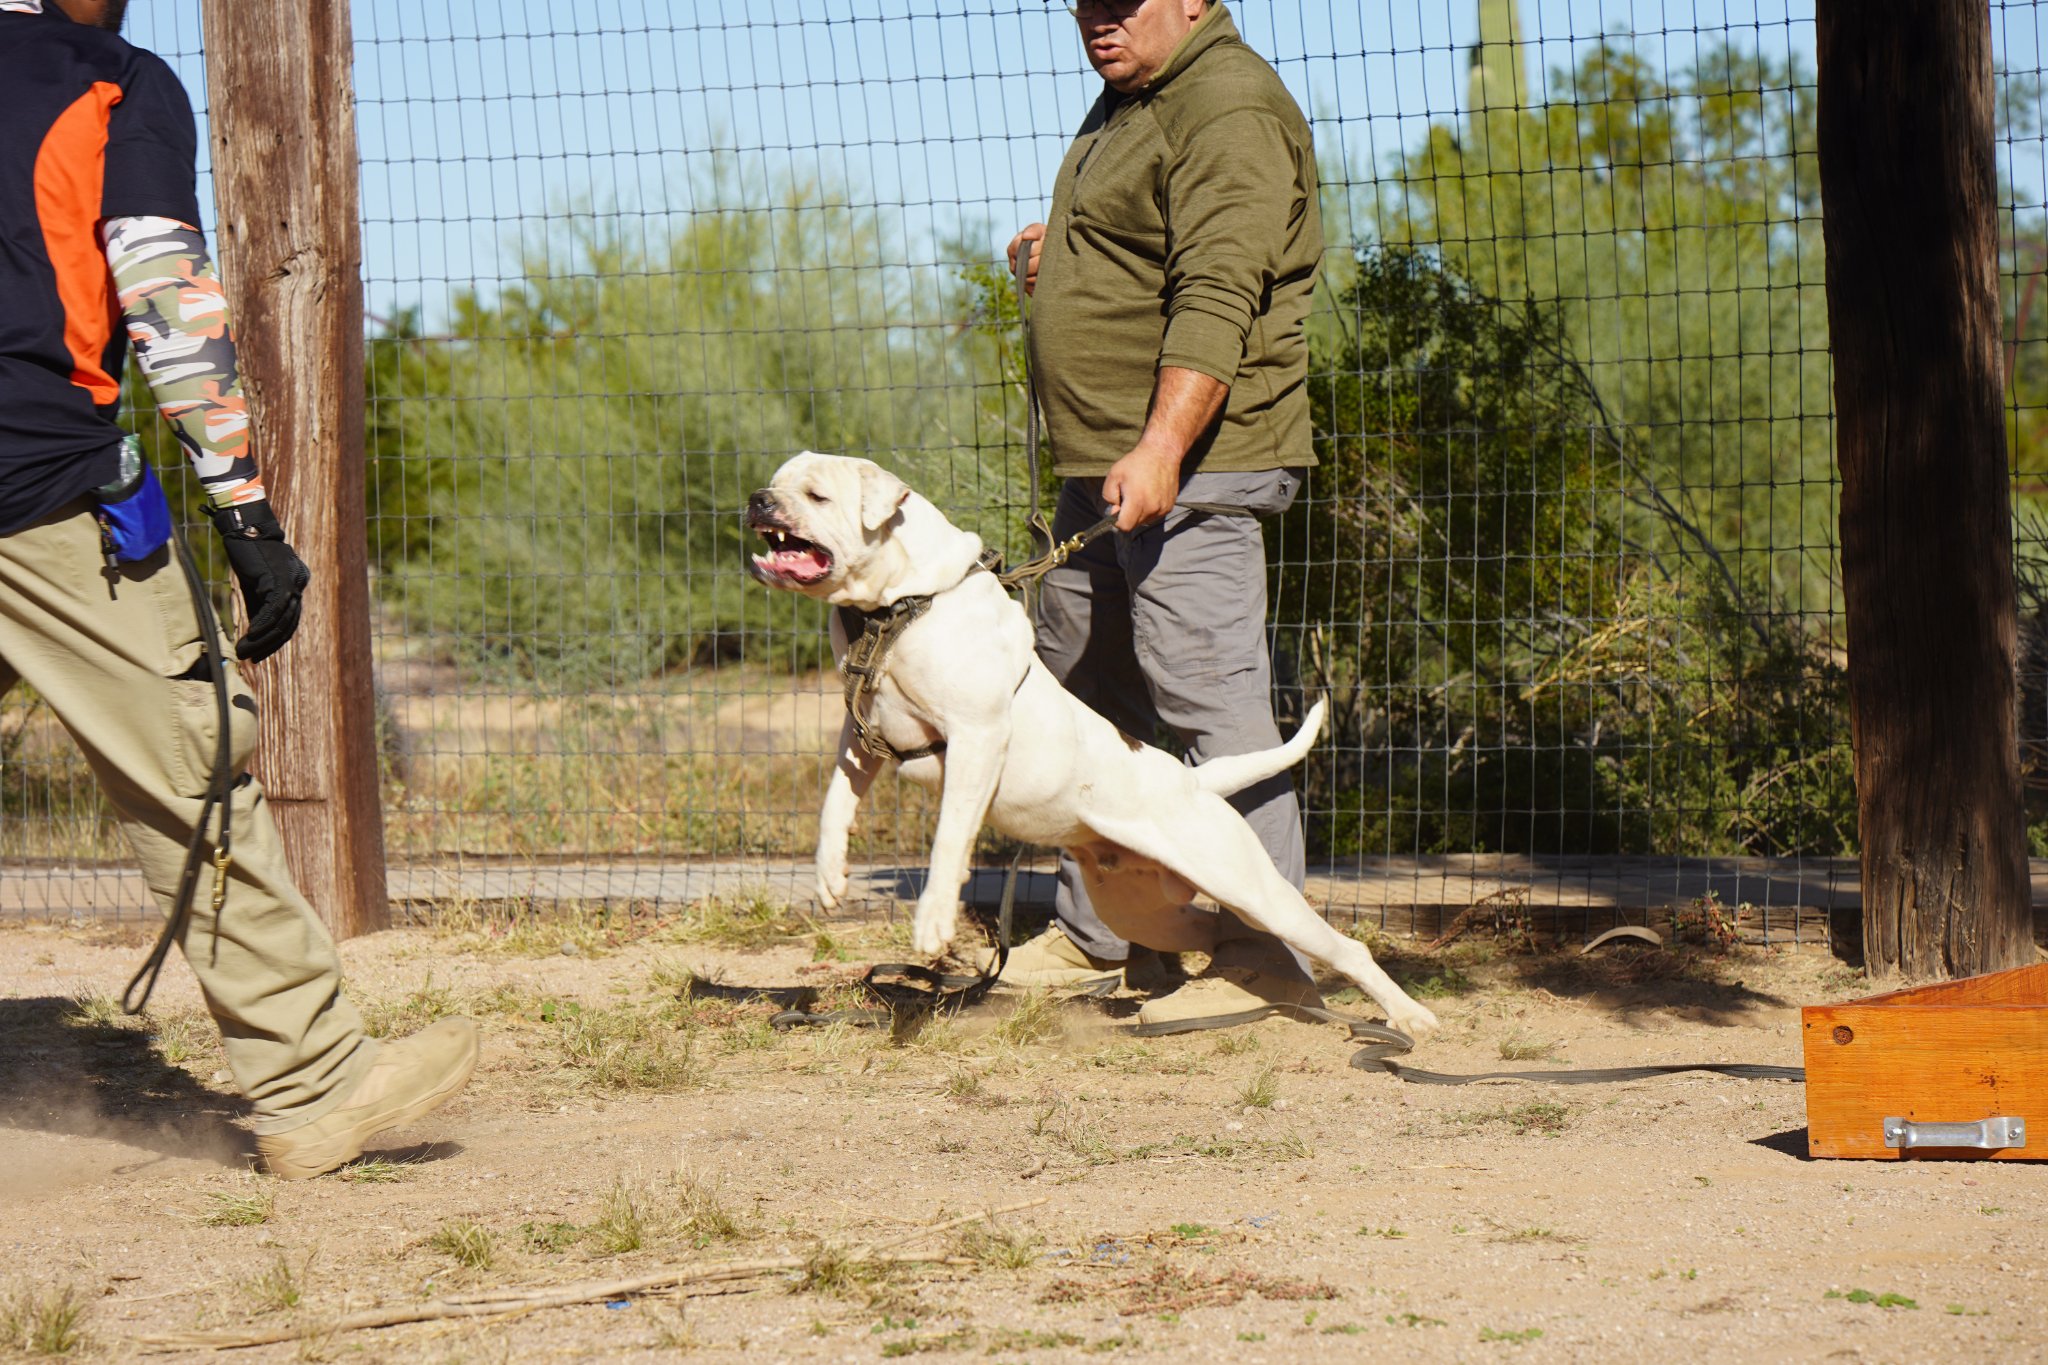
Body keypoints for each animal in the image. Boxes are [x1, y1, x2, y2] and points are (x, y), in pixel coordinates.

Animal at [741, 454, 1441, 1039]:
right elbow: (834, 804)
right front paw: (829, 876)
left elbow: (948, 840)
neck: (899, 605)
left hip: (1250, 885)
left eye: (816, 495)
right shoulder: (861, 738)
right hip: (1140, 907)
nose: (756, 499)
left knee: (1339, 946)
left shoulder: (975, 736)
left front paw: (934, 923)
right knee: (1208, 927)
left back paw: (1410, 1016)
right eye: (775, 482)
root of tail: (1195, 782)